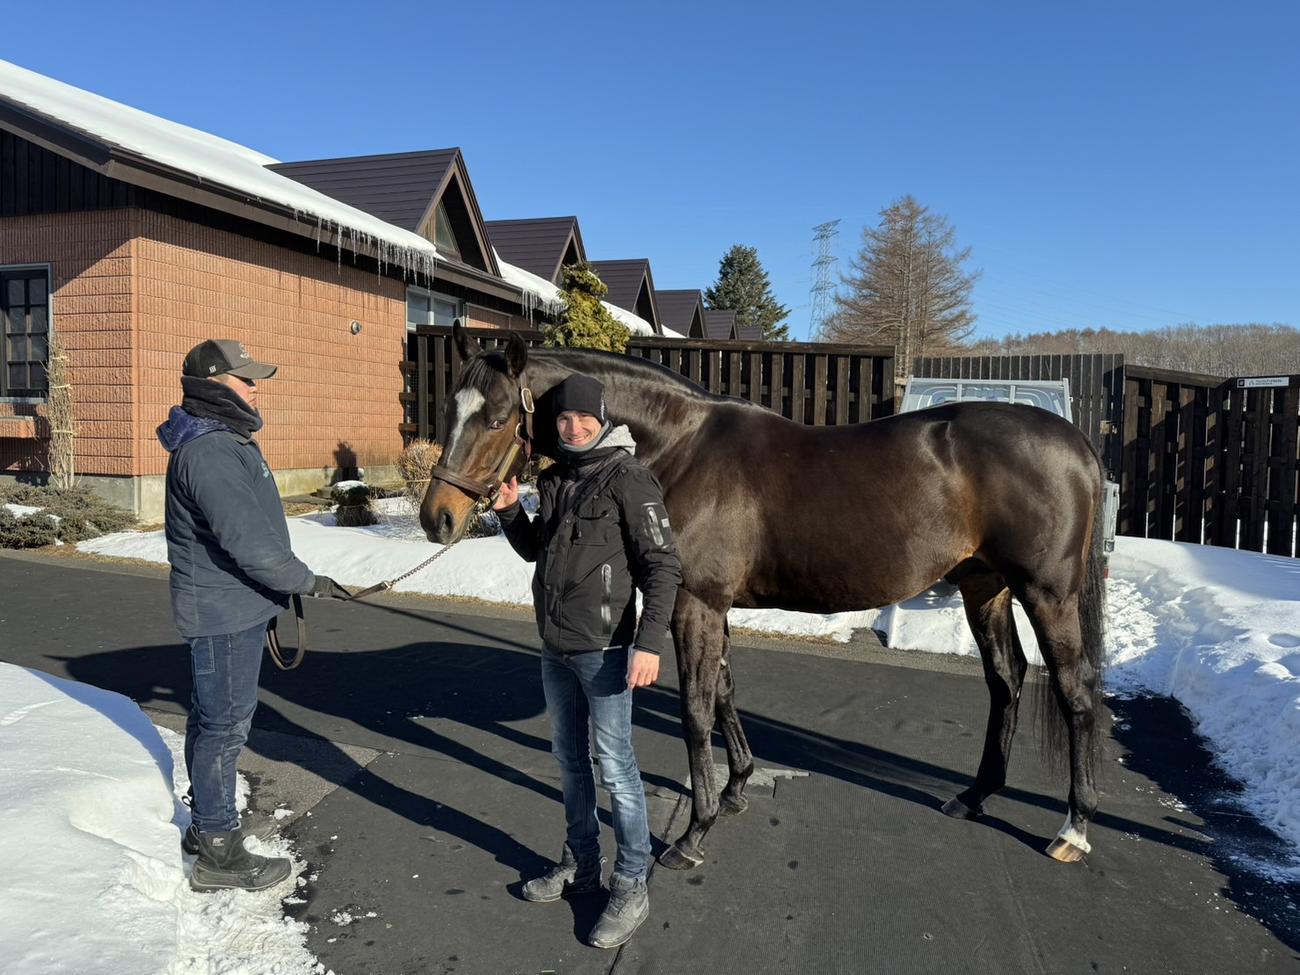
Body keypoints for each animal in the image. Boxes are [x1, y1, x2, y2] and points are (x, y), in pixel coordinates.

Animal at [420, 324, 1107, 869]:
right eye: (451, 410)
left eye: (496, 417)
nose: (438, 518)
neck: (678, 447)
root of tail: (1077, 442)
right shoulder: (713, 606)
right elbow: (724, 690)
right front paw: (736, 789)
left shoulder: (693, 603)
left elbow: (696, 710)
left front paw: (693, 833)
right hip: (984, 588)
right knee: (1007, 680)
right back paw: (974, 796)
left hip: (1046, 593)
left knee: (1074, 692)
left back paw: (1073, 828)